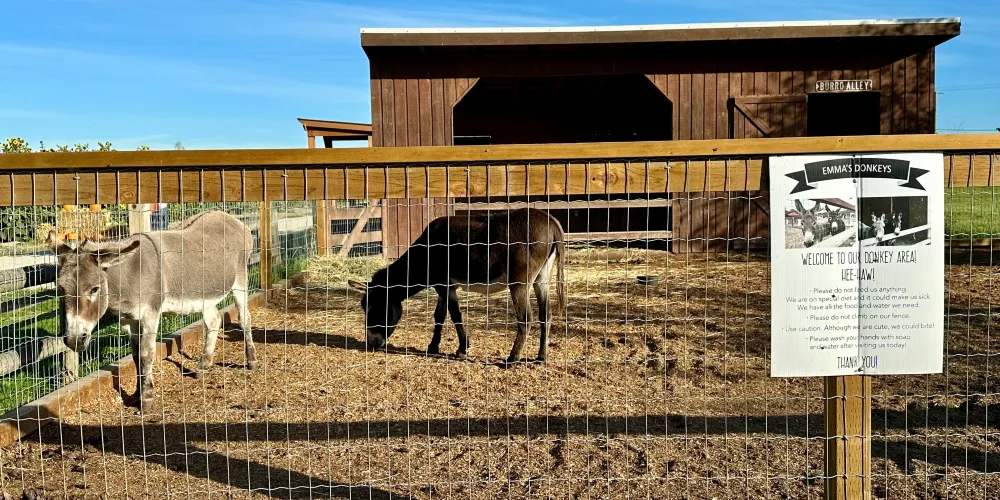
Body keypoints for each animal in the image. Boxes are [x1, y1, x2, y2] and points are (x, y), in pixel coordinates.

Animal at [48, 210, 256, 412]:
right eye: (60, 289)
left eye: (94, 289)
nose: (74, 340)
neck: (129, 275)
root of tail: (232, 219)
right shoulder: (128, 320)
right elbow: (135, 355)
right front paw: (136, 394)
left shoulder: (150, 314)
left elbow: (146, 353)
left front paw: (147, 399)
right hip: (206, 293)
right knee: (214, 321)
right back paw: (203, 366)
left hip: (240, 280)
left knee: (245, 318)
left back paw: (251, 361)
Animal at [348, 208, 566, 365]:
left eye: (373, 307)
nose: (371, 343)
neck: (426, 250)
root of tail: (551, 223)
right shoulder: (444, 287)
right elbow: (439, 316)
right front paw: (433, 346)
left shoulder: (444, 285)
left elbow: (455, 315)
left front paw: (462, 349)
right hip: (541, 278)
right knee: (545, 316)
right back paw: (541, 357)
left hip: (519, 282)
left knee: (526, 318)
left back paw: (512, 359)